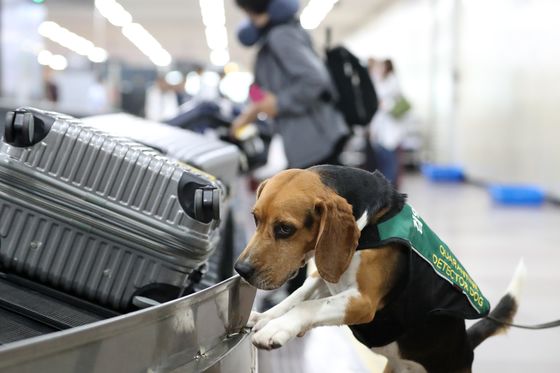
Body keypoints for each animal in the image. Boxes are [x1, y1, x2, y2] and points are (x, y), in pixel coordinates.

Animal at [236, 166, 524, 372]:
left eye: (285, 228)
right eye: (255, 218)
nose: (241, 269)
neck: (367, 224)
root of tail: (467, 347)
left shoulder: (363, 302)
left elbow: (308, 306)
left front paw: (276, 329)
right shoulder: (327, 279)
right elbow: (295, 299)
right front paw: (265, 318)